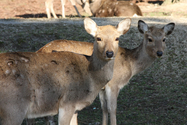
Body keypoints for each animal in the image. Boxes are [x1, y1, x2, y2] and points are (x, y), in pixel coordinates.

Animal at [0, 17, 131, 125]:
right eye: (98, 38)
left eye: (117, 38)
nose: (109, 53)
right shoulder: (67, 103)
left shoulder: (75, 107)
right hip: (14, 107)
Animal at [35, 20, 175, 124]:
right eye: (150, 39)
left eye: (164, 39)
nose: (159, 53)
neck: (130, 64)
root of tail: (40, 50)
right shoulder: (114, 84)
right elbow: (112, 109)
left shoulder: (102, 88)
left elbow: (104, 108)